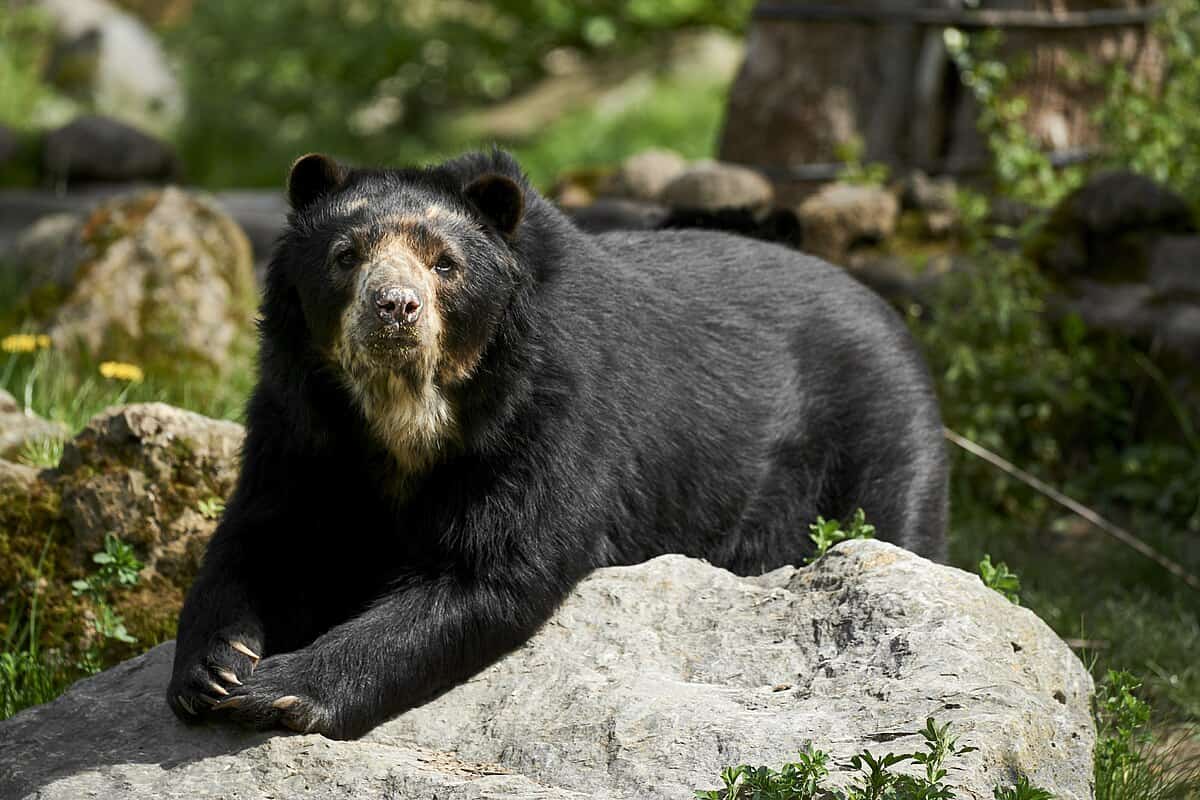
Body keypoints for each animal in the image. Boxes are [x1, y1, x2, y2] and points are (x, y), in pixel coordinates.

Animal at [166, 148, 945, 738]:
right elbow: (265, 530)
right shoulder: (300, 417)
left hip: (876, 435)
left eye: (445, 264)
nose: (395, 308)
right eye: (345, 255)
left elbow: (495, 568)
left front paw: (277, 688)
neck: (404, 408)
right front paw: (214, 669)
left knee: (894, 526)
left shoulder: (549, 408)